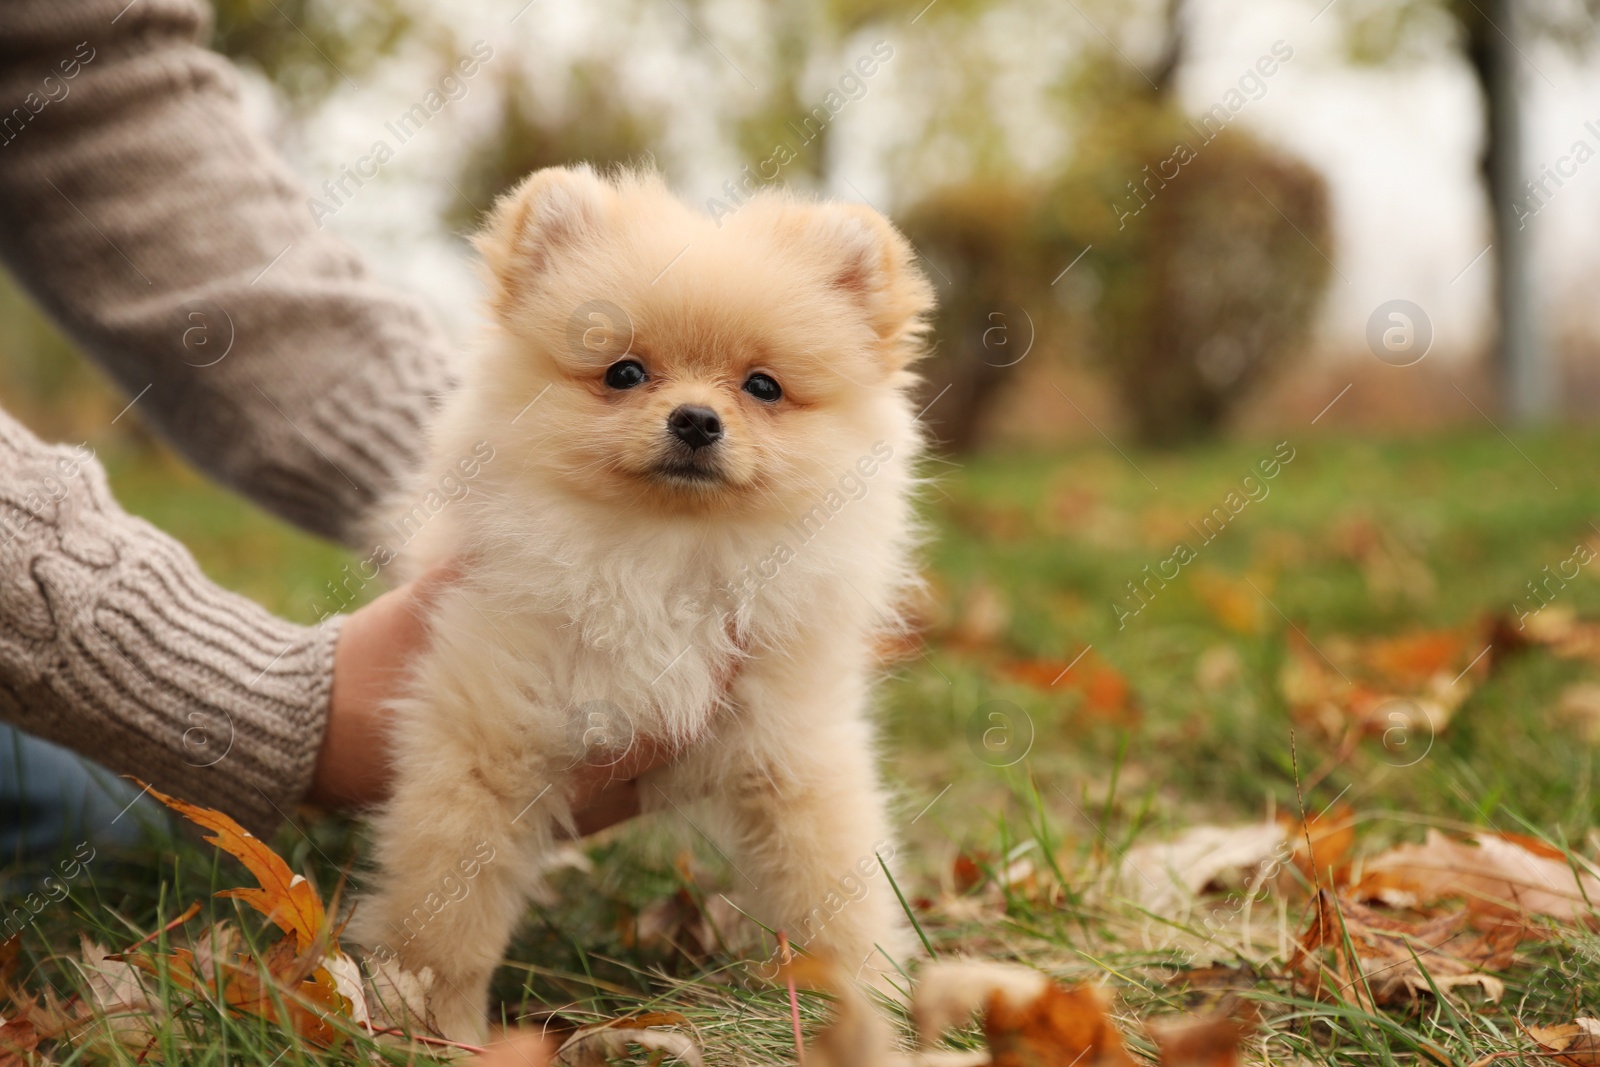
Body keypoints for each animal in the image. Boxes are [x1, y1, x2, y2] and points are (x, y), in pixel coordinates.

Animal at [344, 167, 934, 1043]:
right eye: (623, 373)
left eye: (763, 386)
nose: (695, 418)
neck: (665, 554)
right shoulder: (488, 734)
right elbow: (447, 910)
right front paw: (436, 1025)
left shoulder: (791, 745)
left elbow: (831, 892)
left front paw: (865, 1008)